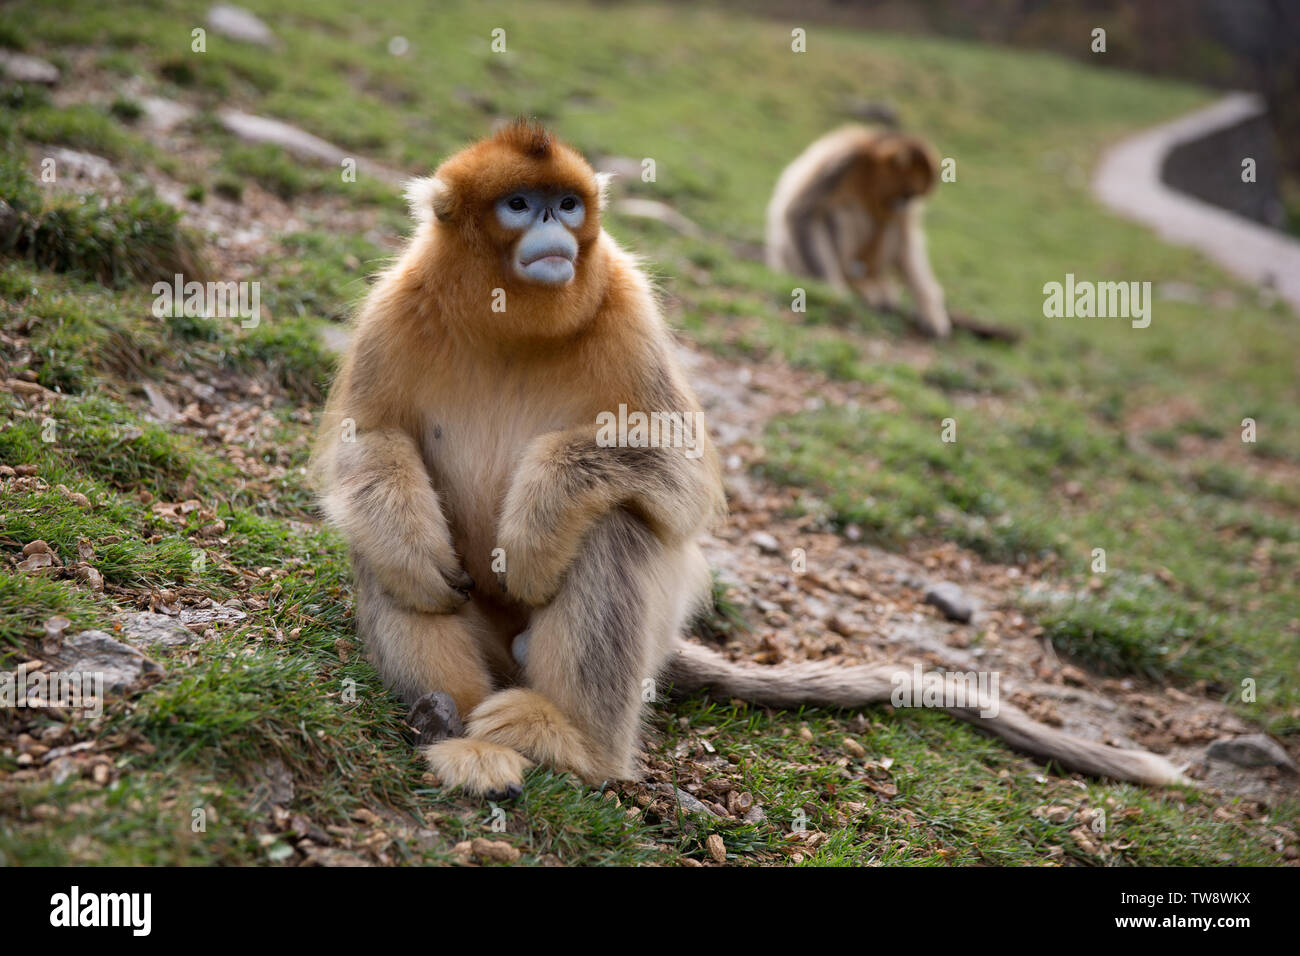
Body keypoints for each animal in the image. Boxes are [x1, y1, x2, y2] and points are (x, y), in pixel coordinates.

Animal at [766, 125, 952, 338]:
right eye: (907, 193)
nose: (903, 205)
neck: (869, 170)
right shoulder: (843, 160)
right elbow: (801, 213)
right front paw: (832, 289)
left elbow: (907, 239)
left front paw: (930, 311)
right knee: (843, 212)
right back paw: (856, 284)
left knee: (891, 226)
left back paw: (876, 286)